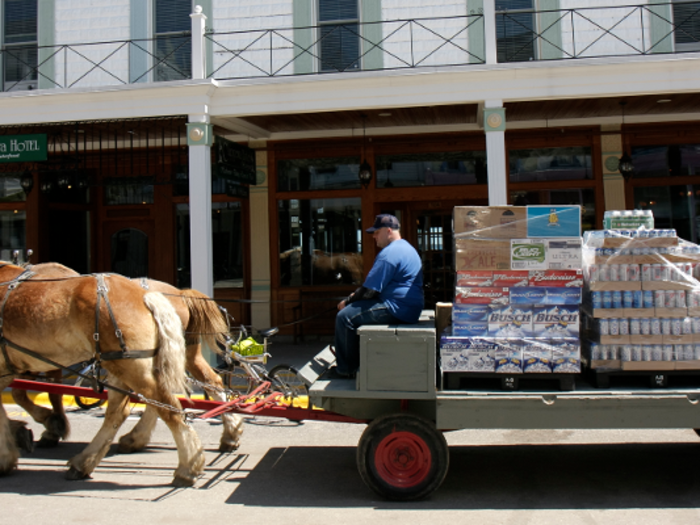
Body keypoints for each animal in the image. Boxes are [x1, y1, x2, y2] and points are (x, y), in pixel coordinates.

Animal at [1, 260, 205, 486]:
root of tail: (146, 296)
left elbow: (24, 398)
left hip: (131, 365)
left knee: (168, 406)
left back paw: (187, 466)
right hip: (122, 363)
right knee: (122, 411)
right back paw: (87, 461)